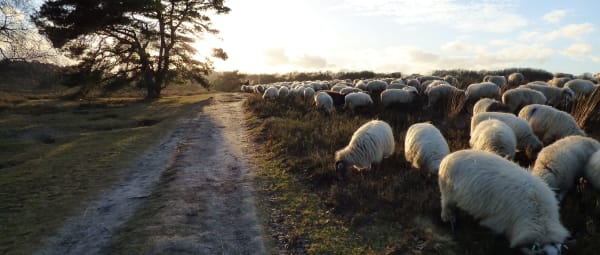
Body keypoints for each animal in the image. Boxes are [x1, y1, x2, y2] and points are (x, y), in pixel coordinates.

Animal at [438, 148, 568, 254]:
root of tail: (449, 156)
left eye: (559, 252)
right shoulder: (497, 223)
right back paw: (449, 219)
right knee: (446, 205)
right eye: (543, 253)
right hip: (447, 193)